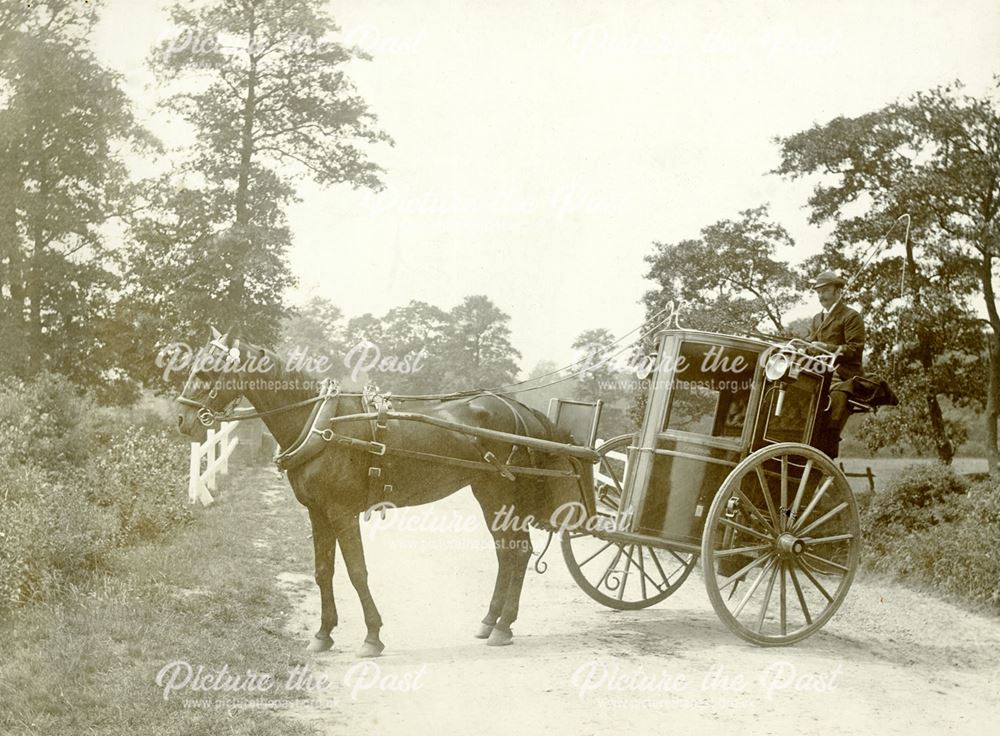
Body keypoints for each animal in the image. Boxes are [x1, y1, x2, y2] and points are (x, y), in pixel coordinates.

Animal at [175, 326, 588, 656]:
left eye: (208, 371)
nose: (182, 418)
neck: (322, 423)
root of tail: (518, 408)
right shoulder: (317, 512)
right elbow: (323, 571)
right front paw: (323, 634)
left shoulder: (342, 512)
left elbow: (357, 571)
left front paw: (372, 636)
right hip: (488, 493)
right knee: (509, 553)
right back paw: (491, 621)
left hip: (498, 492)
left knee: (515, 553)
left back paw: (502, 626)